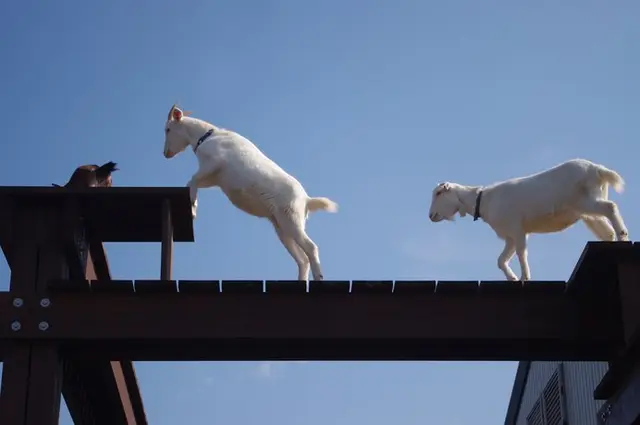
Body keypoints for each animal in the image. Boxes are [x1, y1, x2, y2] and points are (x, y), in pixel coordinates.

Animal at [162, 104, 338, 280]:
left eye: (168, 129)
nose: (165, 153)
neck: (207, 137)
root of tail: (307, 200)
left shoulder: (214, 164)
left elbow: (192, 179)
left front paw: (192, 209)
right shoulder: (213, 179)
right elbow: (193, 182)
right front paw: (193, 206)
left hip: (292, 219)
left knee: (311, 248)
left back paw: (319, 277)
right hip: (282, 227)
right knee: (302, 260)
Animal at [428, 157, 628, 280]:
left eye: (438, 193)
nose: (431, 216)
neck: (484, 200)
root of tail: (598, 169)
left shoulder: (517, 229)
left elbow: (521, 253)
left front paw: (525, 277)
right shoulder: (509, 235)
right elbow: (501, 260)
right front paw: (513, 278)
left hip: (588, 201)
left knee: (611, 207)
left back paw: (623, 235)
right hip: (587, 211)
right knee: (606, 230)